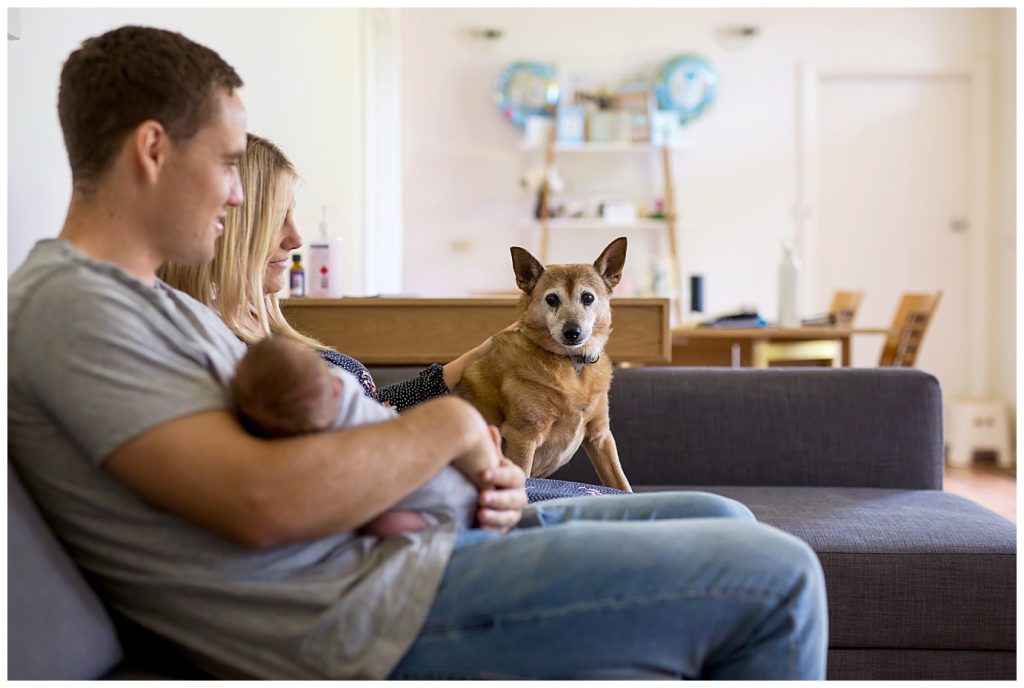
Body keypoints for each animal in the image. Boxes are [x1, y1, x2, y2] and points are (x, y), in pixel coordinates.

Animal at [456, 239, 630, 491]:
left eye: (588, 298)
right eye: (552, 299)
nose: (572, 332)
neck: (572, 365)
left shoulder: (600, 436)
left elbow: (622, 483)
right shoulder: (522, 437)